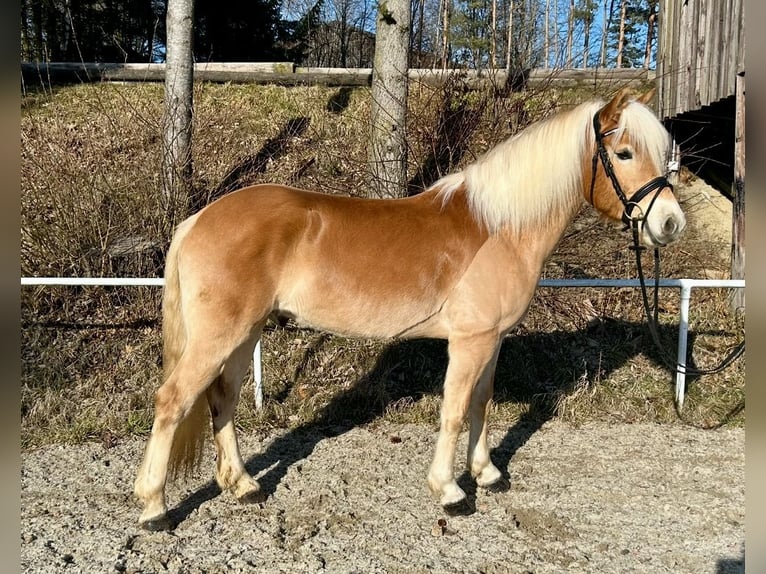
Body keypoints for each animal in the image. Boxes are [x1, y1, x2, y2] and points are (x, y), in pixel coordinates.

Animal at [134, 88, 688, 532]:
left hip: (244, 334)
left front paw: (487, 473)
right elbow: (454, 411)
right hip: (220, 335)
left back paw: (244, 485)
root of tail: (198, 218)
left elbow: (482, 403)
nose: (669, 223)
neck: (500, 228)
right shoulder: (469, 342)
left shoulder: (491, 341)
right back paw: (155, 508)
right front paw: (450, 490)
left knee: (222, 399)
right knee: (173, 401)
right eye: (623, 152)